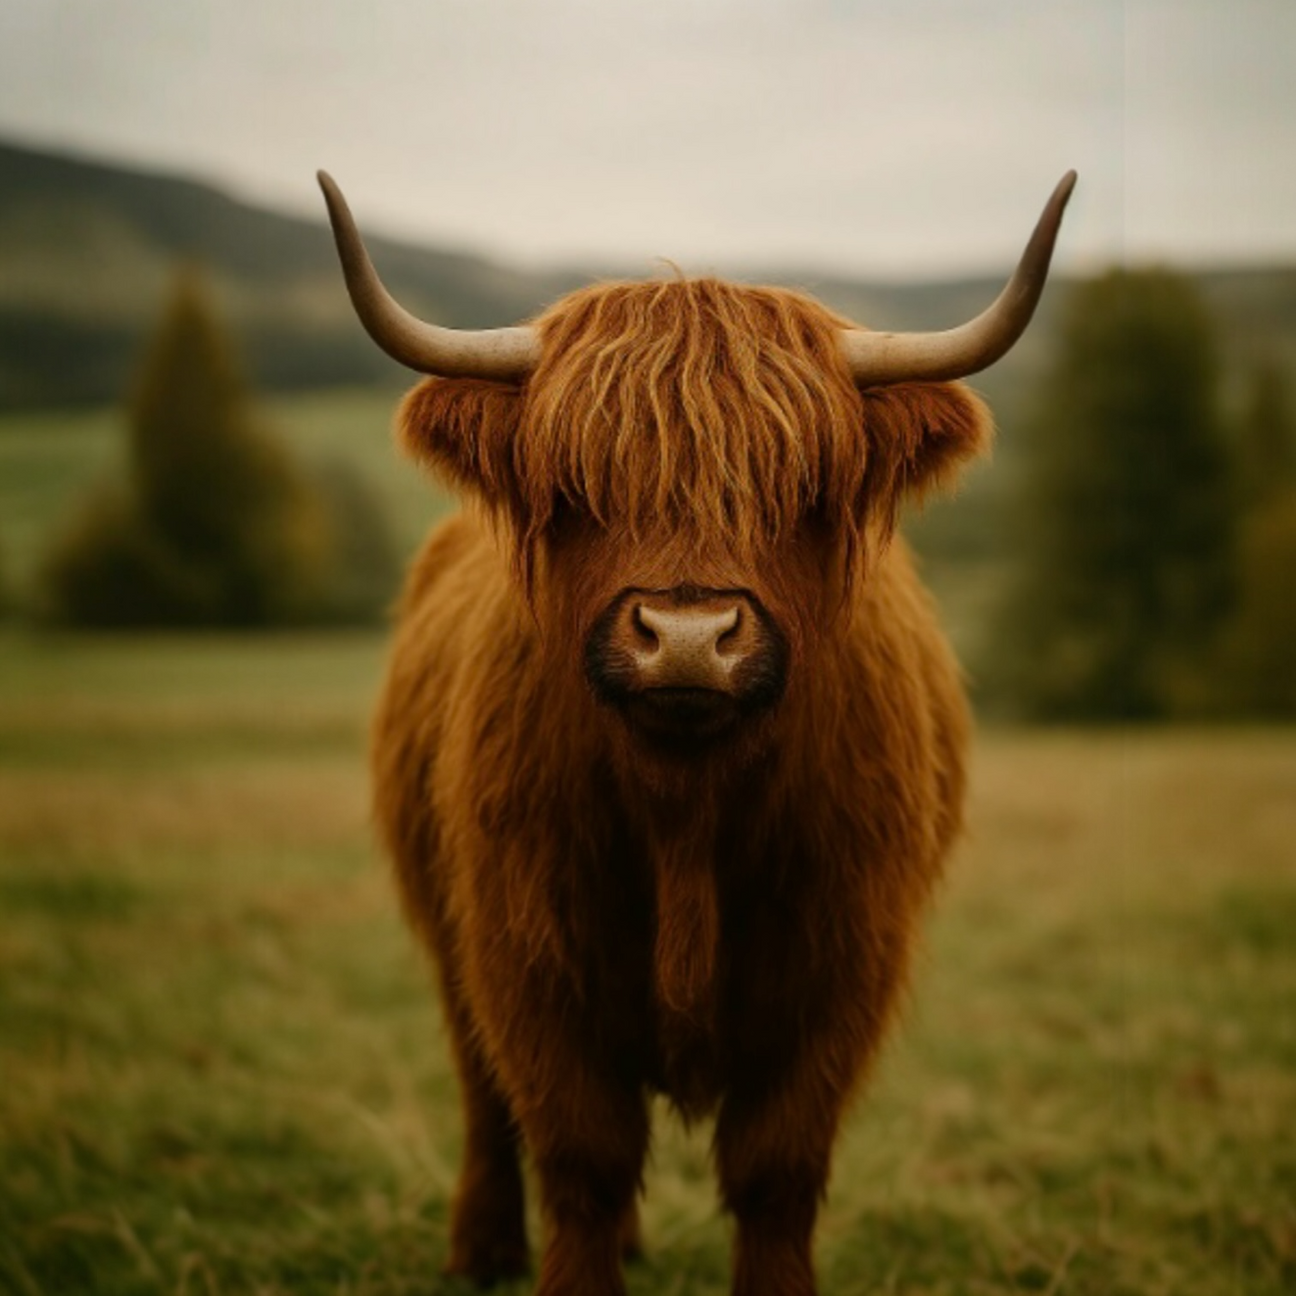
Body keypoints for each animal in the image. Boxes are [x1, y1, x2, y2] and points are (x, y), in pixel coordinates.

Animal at [319, 170, 1075, 1296]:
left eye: (803, 491)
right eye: (574, 490)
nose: (686, 639)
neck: (685, 810)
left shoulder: (840, 965)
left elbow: (776, 1167)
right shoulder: (526, 956)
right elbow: (581, 1153)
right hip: (449, 940)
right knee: (483, 1096)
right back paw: (483, 1251)